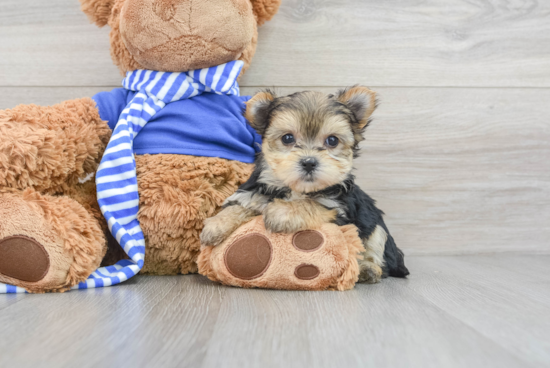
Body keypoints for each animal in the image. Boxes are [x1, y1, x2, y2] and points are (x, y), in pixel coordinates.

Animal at [202, 85, 410, 282]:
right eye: (287, 138)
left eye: (332, 140)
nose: (309, 162)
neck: (296, 189)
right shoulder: (254, 192)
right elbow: (241, 204)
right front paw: (216, 225)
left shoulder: (337, 208)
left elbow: (310, 203)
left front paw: (281, 212)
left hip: (377, 227)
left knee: (377, 249)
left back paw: (368, 269)